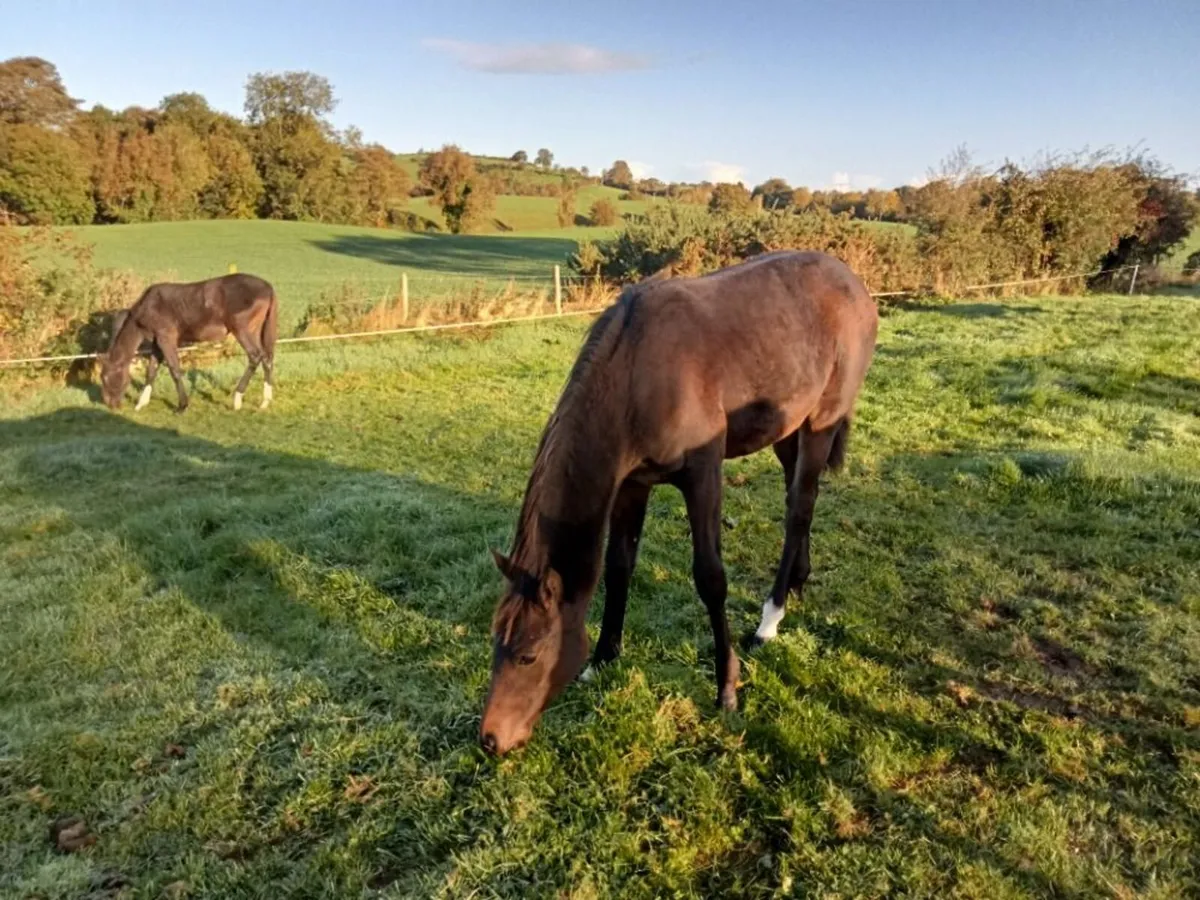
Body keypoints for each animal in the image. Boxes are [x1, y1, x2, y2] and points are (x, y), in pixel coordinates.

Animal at [99, 273, 278, 413]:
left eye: (105, 377)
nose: (110, 404)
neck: (148, 307)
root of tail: (268, 288)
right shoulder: (157, 342)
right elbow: (151, 371)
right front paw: (141, 403)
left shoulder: (167, 339)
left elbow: (175, 370)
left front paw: (182, 406)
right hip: (257, 331)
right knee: (267, 358)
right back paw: (265, 401)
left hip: (242, 330)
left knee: (255, 356)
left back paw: (237, 398)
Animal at [480, 249, 879, 756]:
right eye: (495, 641)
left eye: (529, 656)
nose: (490, 738)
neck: (636, 373)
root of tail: (854, 283)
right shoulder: (632, 484)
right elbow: (619, 567)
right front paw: (603, 657)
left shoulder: (702, 473)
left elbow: (710, 578)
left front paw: (726, 688)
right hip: (790, 428)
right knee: (800, 498)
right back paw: (797, 585)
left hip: (822, 422)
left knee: (798, 509)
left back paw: (770, 618)